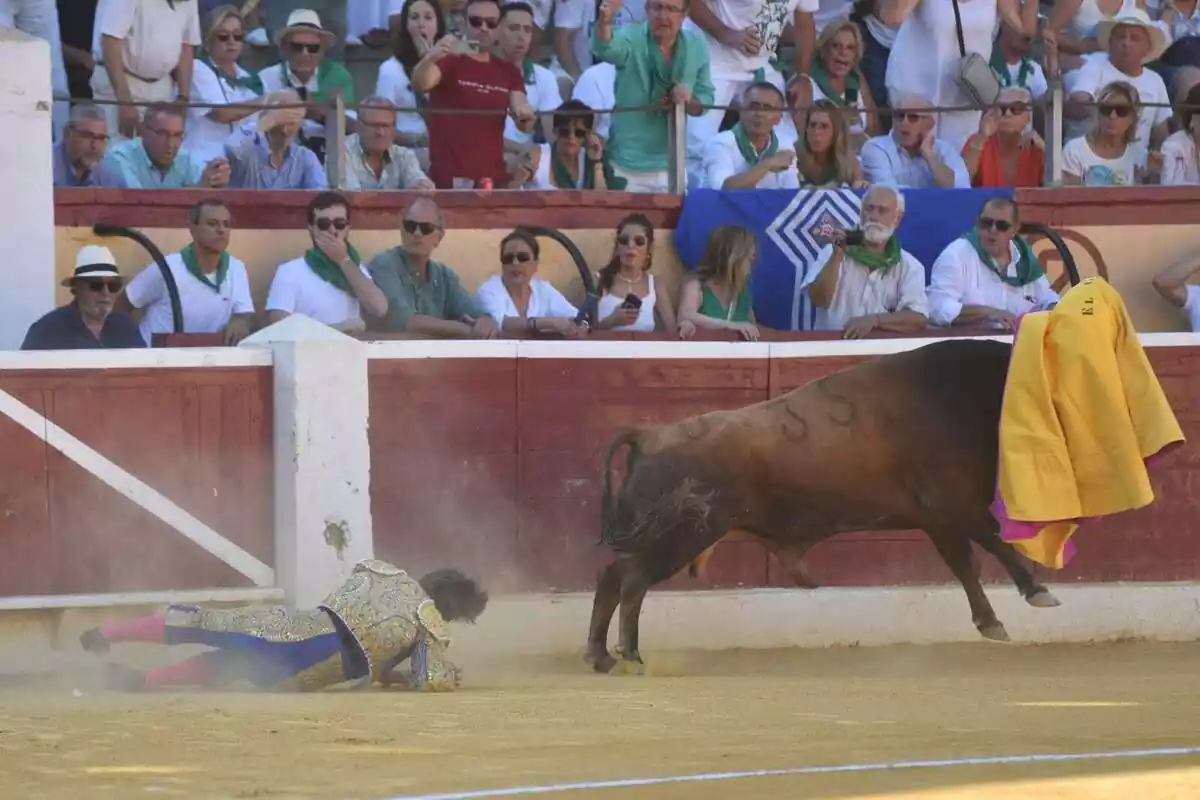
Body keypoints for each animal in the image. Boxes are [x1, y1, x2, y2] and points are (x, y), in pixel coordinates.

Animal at [588, 340, 1060, 676]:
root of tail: (651, 435)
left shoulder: (938, 517)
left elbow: (965, 563)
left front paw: (991, 621)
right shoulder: (953, 502)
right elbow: (995, 542)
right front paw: (1037, 592)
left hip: (659, 536)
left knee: (612, 577)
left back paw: (600, 656)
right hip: (683, 536)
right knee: (633, 583)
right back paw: (630, 655)